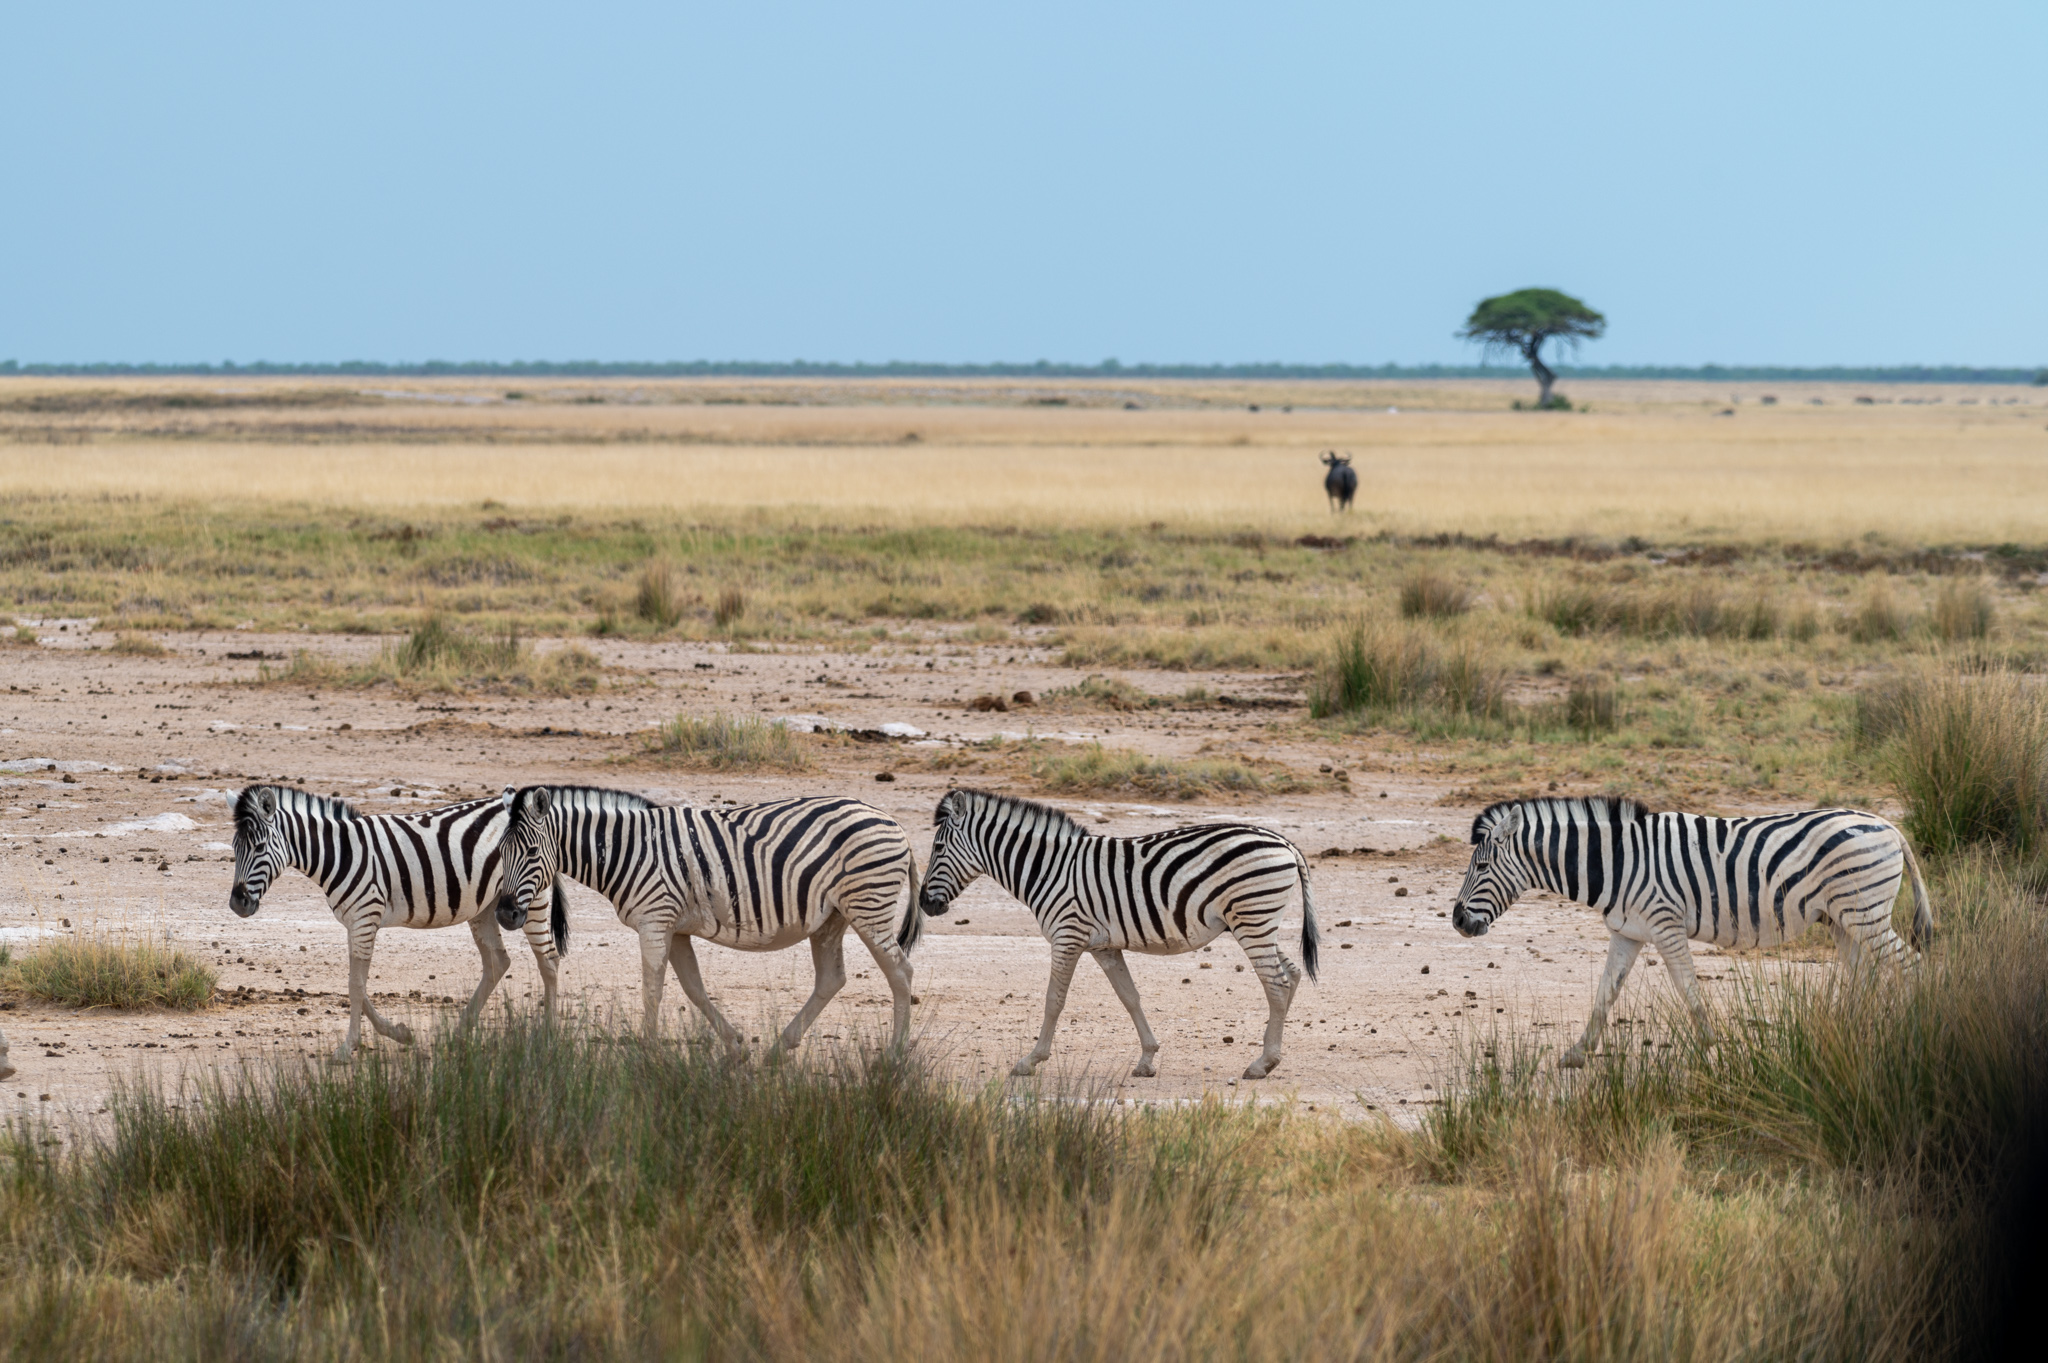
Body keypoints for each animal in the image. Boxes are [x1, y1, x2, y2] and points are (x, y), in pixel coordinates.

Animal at [223, 773, 643, 1064]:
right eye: (235, 847)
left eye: (259, 846)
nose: (237, 904)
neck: (341, 853)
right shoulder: (356, 922)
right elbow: (357, 985)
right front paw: (399, 1032)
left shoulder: (365, 917)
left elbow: (356, 986)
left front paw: (348, 1048)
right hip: (487, 907)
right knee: (498, 962)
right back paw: (459, 1031)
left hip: (532, 900)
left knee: (549, 961)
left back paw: (548, 1037)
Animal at [491, 781, 917, 1043]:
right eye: (500, 853)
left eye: (532, 852)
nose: (505, 915)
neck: (626, 849)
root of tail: (894, 823)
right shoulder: (675, 927)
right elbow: (693, 988)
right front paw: (736, 1045)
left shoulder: (654, 920)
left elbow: (651, 991)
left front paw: (646, 1053)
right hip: (831, 917)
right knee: (832, 978)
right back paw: (780, 1049)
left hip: (868, 906)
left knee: (900, 972)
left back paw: (893, 1058)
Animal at [917, 789, 1327, 1080]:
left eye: (937, 848)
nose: (924, 904)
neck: (1047, 868)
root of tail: (1283, 842)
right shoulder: (1105, 947)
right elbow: (1130, 997)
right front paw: (1147, 1059)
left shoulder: (1067, 936)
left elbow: (1053, 1001)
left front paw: (1030, 1060)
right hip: (1258, 922)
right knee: (1290, 975)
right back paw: (1271, 1054)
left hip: (1251, 918)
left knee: (1276, 983)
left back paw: (1262, 1064)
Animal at [1449, 789, 1925, 1064]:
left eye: (1482, 866)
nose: (1456, 921)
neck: (1617, 862)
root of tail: (1887, 824)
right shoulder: (1627, 932)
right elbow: (1605, 993)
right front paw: (1577, 1053)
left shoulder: (1666, 924)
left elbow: (1688, 989)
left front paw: (1709, 1047)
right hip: (1845, 921)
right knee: (1863, 976)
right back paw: (1849, 1035)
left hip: (1865, 915)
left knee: (1913, 966)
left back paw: (1923, 1025)